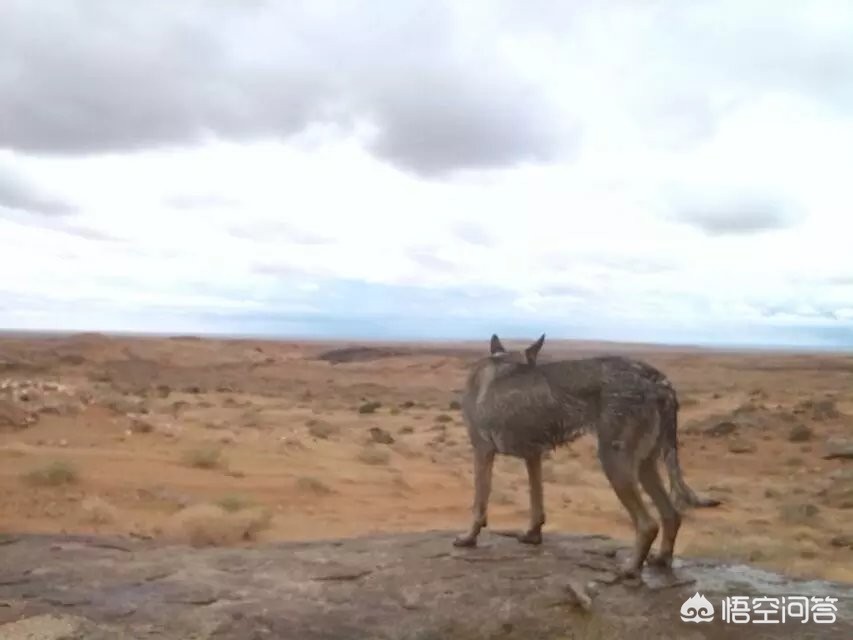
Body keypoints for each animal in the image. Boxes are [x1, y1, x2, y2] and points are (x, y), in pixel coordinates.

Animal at [452, 336, 720, 580]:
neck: (503, 360)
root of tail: (658, 379)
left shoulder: (482, 451)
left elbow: (479, 503)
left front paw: (468, 538)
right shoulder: (533, 455)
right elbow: (536, 502)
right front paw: (532, 536)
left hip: (615, 463)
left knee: (648, 523)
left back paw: (630, 569)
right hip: (645, 465)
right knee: (671, 514)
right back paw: (661, 559)